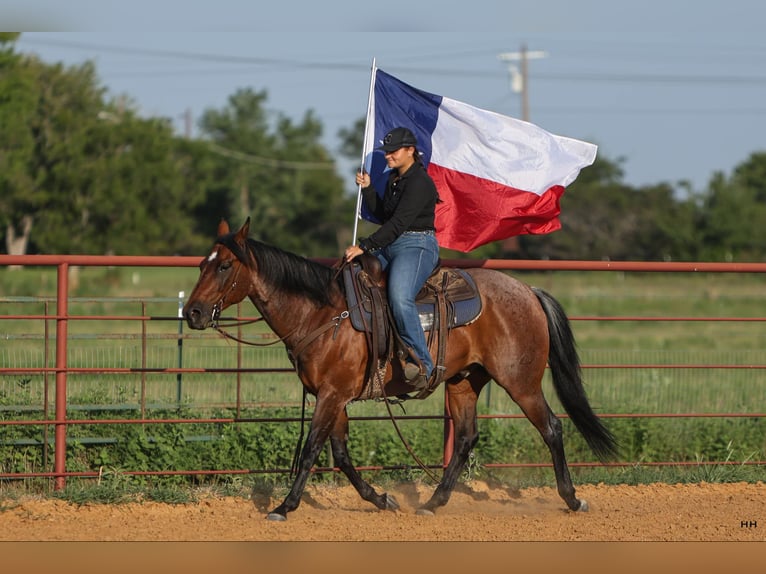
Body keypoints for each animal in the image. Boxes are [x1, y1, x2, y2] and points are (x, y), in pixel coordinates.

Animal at [183, 218, 618, 521]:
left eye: (224, 266)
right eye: (203, 264)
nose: (194, 313)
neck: (322, 313)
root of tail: (528, 290)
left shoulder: (332, 395)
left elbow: (311, 451)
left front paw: (284, 506)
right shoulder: (333, 396)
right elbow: (340, 454)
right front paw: (380, 498)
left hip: (521, 381)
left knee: (552, 428)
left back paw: (572, 499)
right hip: (463, 382)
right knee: (465, 438)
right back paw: (432, 502)